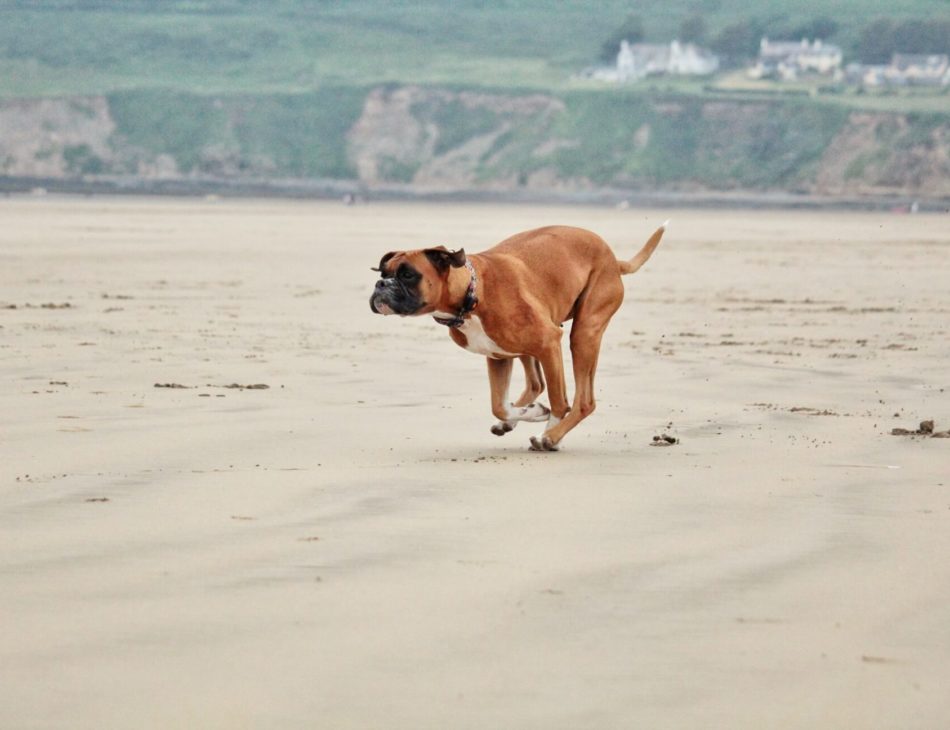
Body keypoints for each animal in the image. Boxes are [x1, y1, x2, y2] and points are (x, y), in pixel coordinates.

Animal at [368, 222, 664, 450]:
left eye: (408, 275)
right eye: (383, 272)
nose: (380, 284)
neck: (471, 295)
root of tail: (613, 259)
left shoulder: (549, 342)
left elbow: (559, 401)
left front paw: (548, 431)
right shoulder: (497, 357)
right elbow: (499, 404)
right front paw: (528, 413)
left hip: (584, 333)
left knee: (583, 401)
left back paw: (551, 436)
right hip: (526, 348)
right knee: (535, 384)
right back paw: (514, 420)